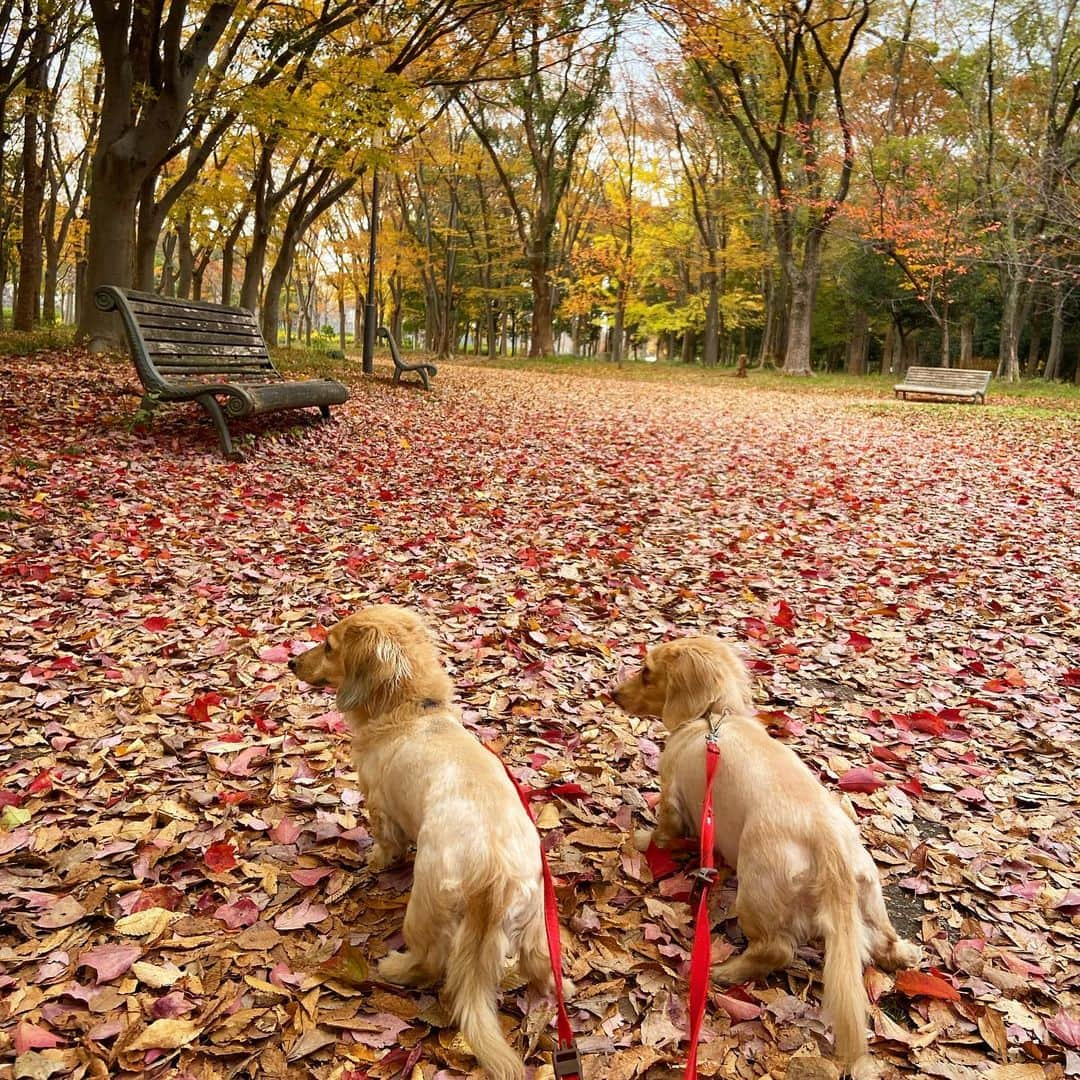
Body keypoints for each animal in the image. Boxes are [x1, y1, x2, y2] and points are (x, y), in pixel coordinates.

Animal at [291, 604, 552, 1075]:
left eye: (328, 646)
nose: (290, 662)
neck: (414, 711)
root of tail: (494, 875)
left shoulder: (380, 805)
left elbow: (386, 843)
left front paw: (377, 862)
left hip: (425, 907)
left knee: (429, 963)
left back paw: (394, 968)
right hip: (534, 918)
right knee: (538, 962)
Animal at [617, 635, 920, 1075]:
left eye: (646, 672)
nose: (613, 694)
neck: (713, 717)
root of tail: (827, 839)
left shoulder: (674, 796)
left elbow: (663, 831)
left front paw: (642, 840)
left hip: (756, 889)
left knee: (776, 949)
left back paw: (723, 973)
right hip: (869, 893)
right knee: (884, 939)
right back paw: (905, 955)